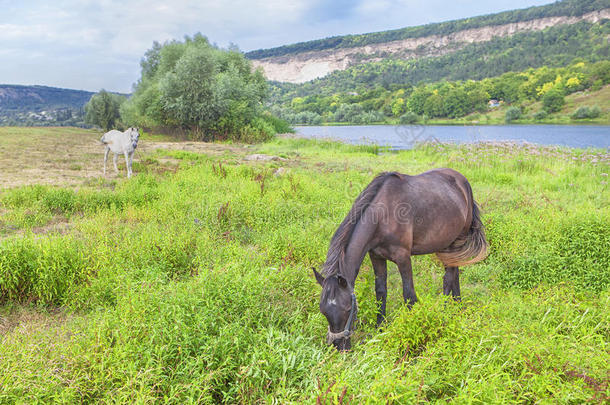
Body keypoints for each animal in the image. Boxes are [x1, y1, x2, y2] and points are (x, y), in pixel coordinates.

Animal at [312, 168, 486, 350]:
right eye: (323, 310)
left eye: (347, 309)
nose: (339, 347)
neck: (382, 216)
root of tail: (462, 181)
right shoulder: (376, 257)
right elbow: (381, 291)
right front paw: (380, 328)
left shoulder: (403, 258)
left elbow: (409, 294)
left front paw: (412, 328)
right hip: (446, 244)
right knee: (454, 272)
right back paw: (457, 306)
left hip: (457, 240)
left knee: (449, 276)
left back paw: (446, 310)